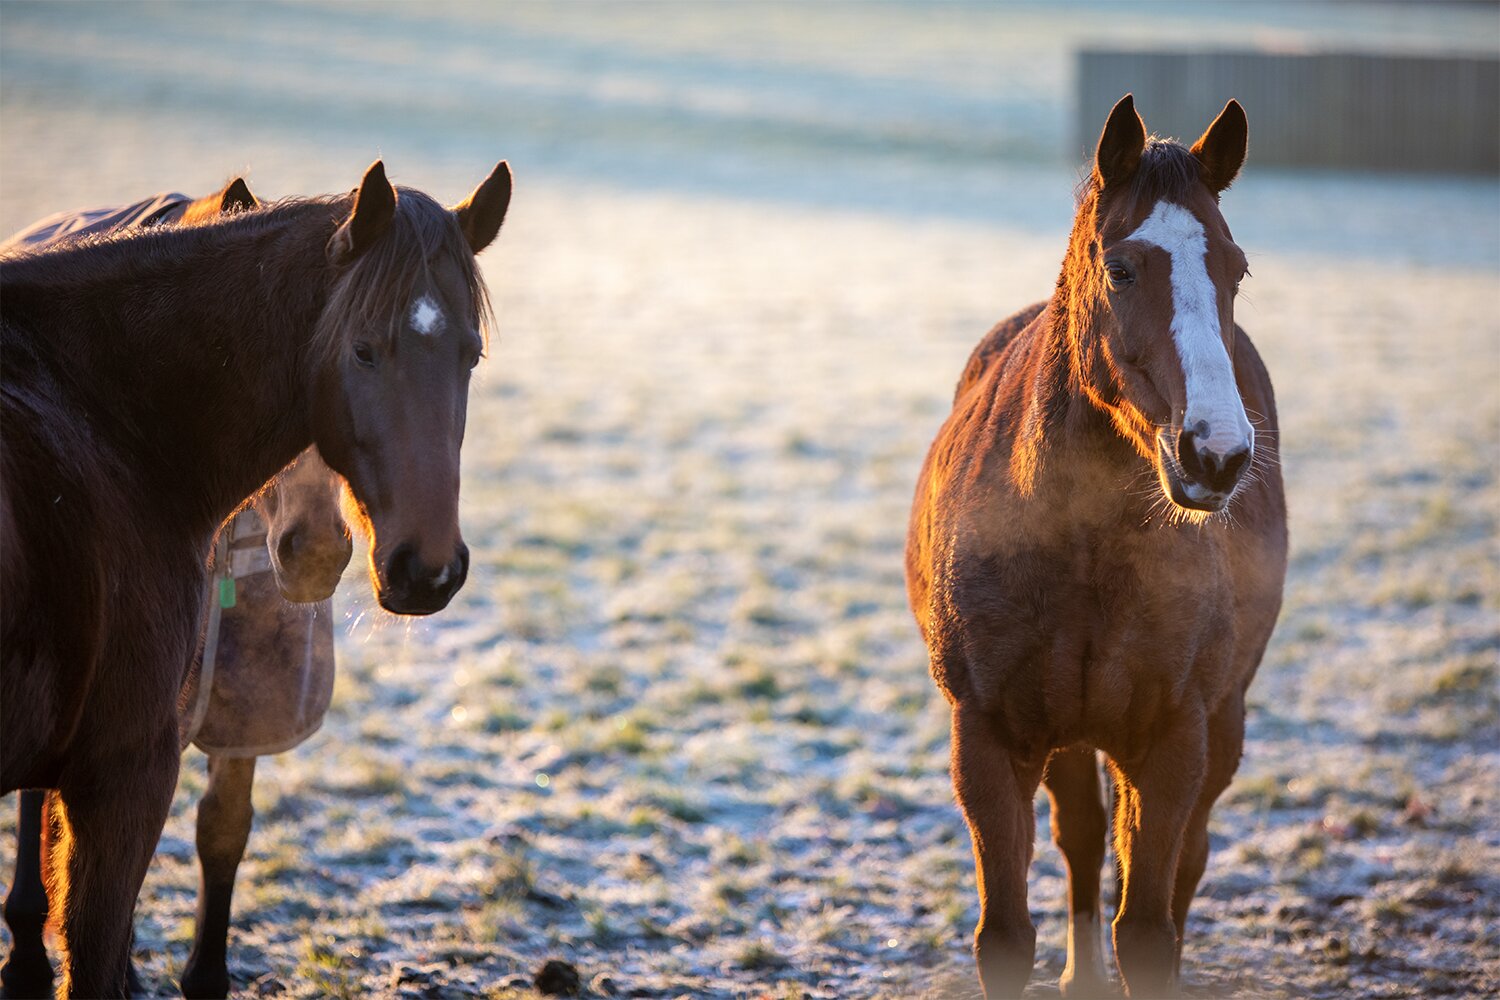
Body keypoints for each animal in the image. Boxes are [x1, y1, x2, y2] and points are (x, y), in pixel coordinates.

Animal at [900, 95, 1290, 1000]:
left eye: (1236, 270)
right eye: (1121, 270)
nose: (1216, 454)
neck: (1082, 550)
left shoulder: (1176, 740)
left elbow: (1147, 927)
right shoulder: (989, 736)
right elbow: (1006, 936)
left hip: (1221, 724)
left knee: (1185, 862)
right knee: (1082, 838)